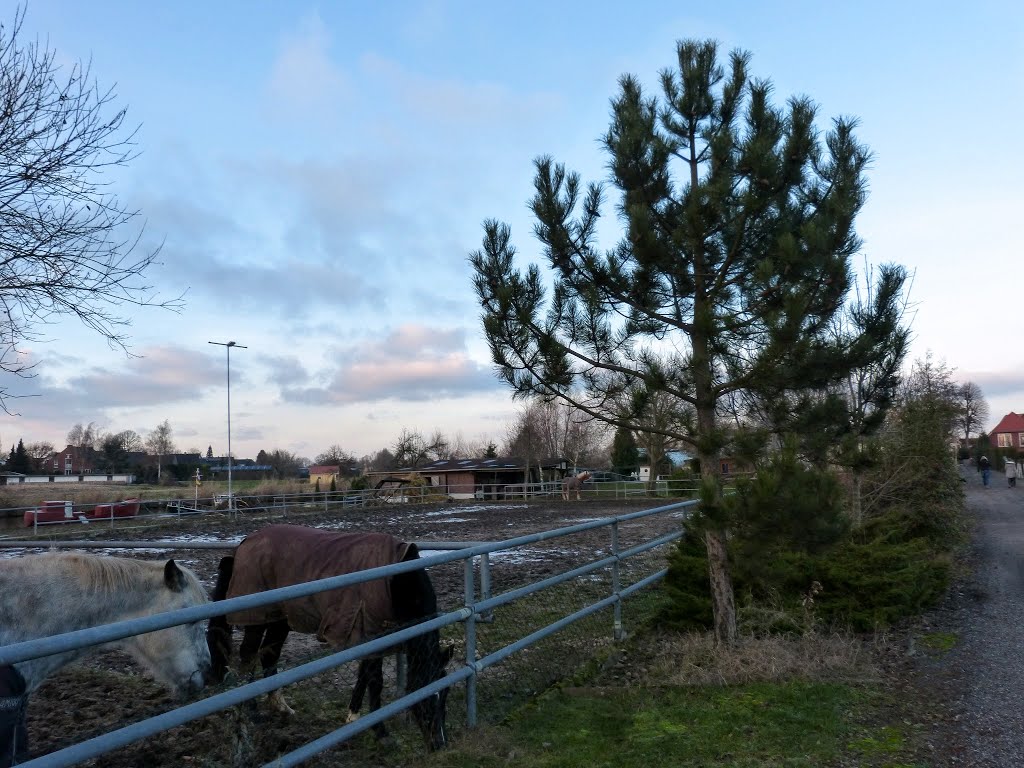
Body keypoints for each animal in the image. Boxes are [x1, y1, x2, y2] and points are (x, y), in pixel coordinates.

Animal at [205, 528, 450, 749]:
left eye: (445, 694)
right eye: (428, 696)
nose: (439, 744)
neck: (398, 579)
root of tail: (245, 543)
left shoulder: (372, 637)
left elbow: (364, 676)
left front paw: (353, 717)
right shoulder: (371, 634)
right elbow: (375, 680)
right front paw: (381, 733)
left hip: (280, 620)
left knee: (269, 656)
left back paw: (282, 708)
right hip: (256, 619)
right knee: (248, 657)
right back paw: (252, 712)